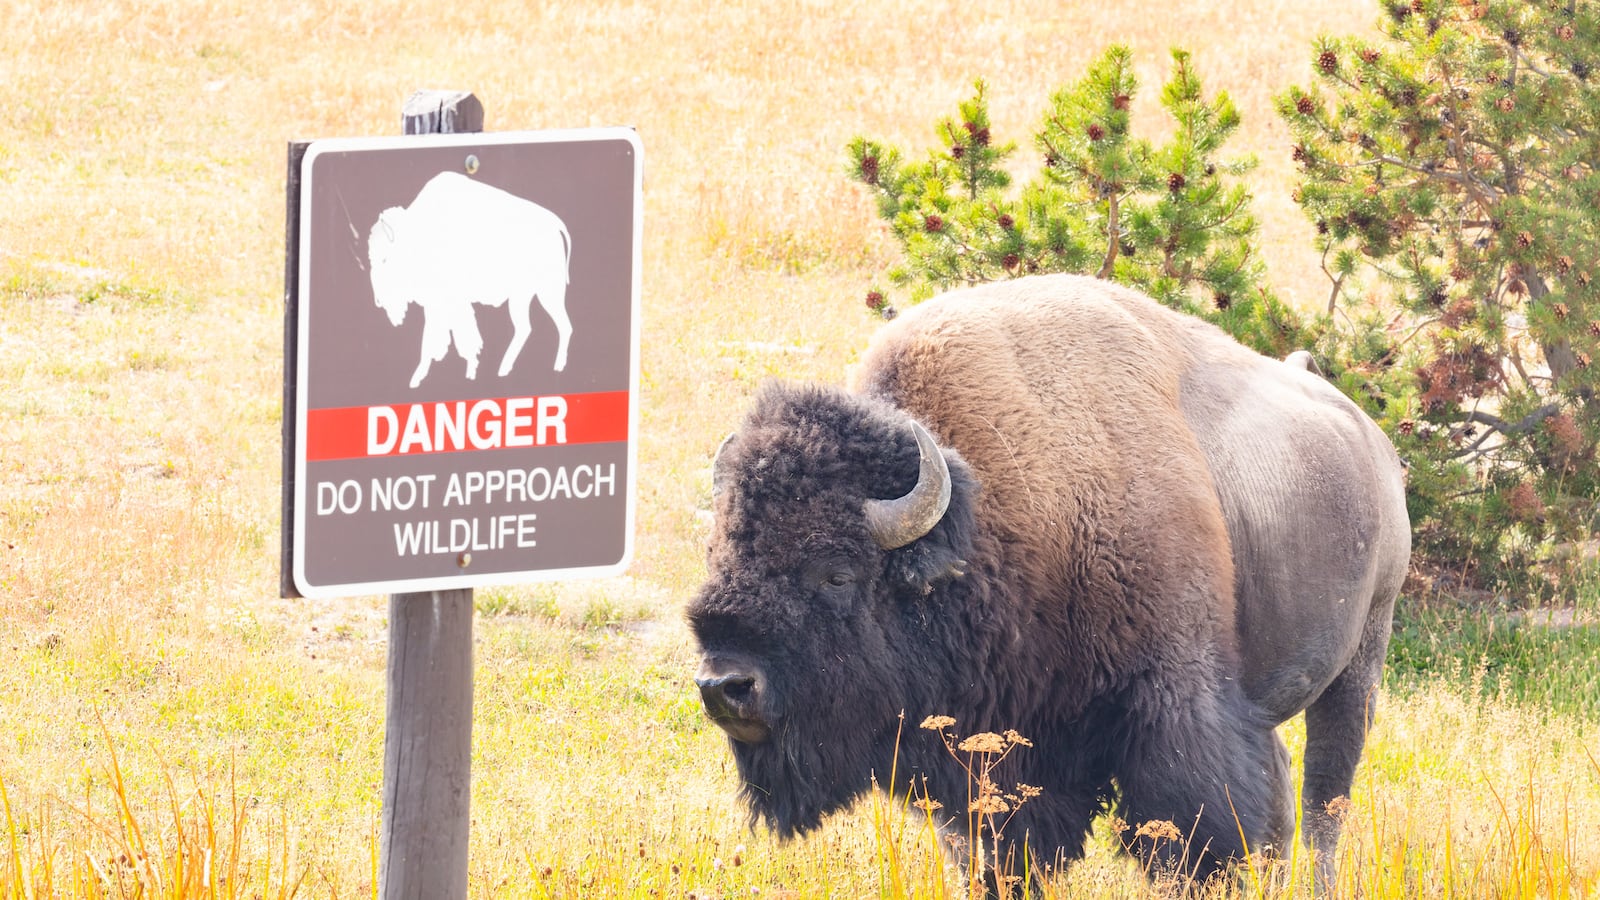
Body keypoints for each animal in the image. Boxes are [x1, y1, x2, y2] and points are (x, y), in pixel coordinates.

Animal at [687, 274, 1410, 888]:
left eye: (838, 573)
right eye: (719, 553)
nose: (726, 686)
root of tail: (1372, 442)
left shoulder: (1174, 705)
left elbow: (1195, 834)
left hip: (1360, 661)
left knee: (1325, 800)